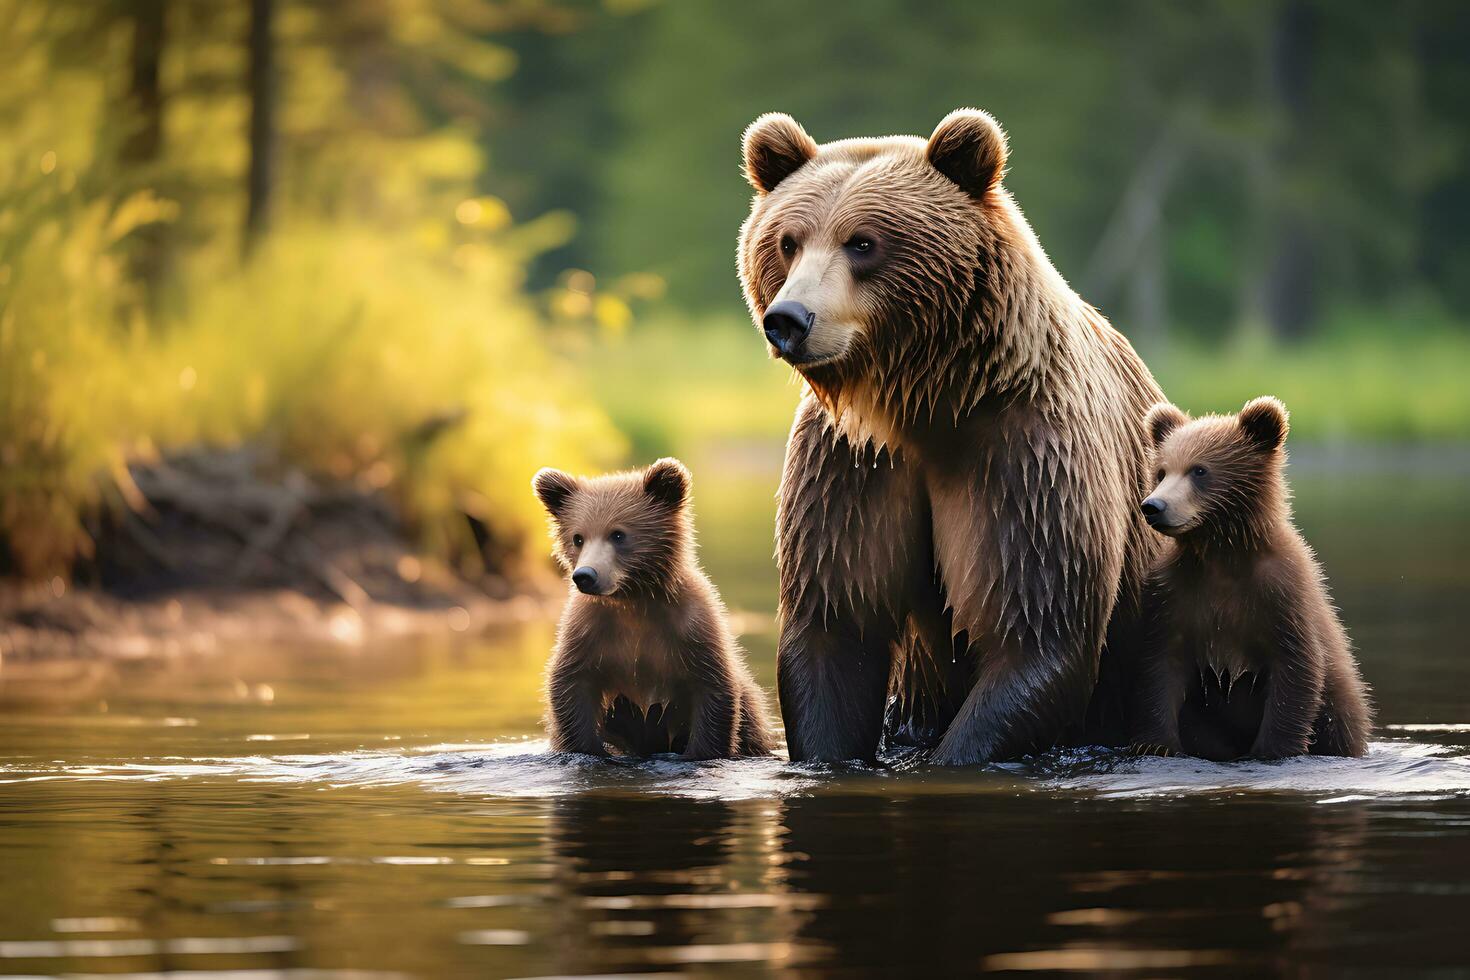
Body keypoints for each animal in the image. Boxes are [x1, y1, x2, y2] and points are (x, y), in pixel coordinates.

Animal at [532, 455, 782, 764]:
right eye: (578, 538)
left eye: (618, 534)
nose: (586, 575)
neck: (634, 601)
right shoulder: (589, 631)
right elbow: (570, 686)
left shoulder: (691, 629)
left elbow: (713, 690)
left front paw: (698, 752)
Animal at [740, 107, 1164, 764]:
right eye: (787, 241)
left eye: (862, 241)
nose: (788, 319)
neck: (925, 399)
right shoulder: (851, 464)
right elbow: (836, 626)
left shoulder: (1024, 453)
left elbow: (1035, 630)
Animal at [1128, 396, 1370, 758]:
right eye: (1161, 471)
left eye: (1199, 470)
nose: (1154, 506)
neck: (1223, 554)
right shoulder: (1173, 594)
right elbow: (1159, 669)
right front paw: (1155, 743)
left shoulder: (1281, 595)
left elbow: (1296, 670)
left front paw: (1273, 748)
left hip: (1342, 707)